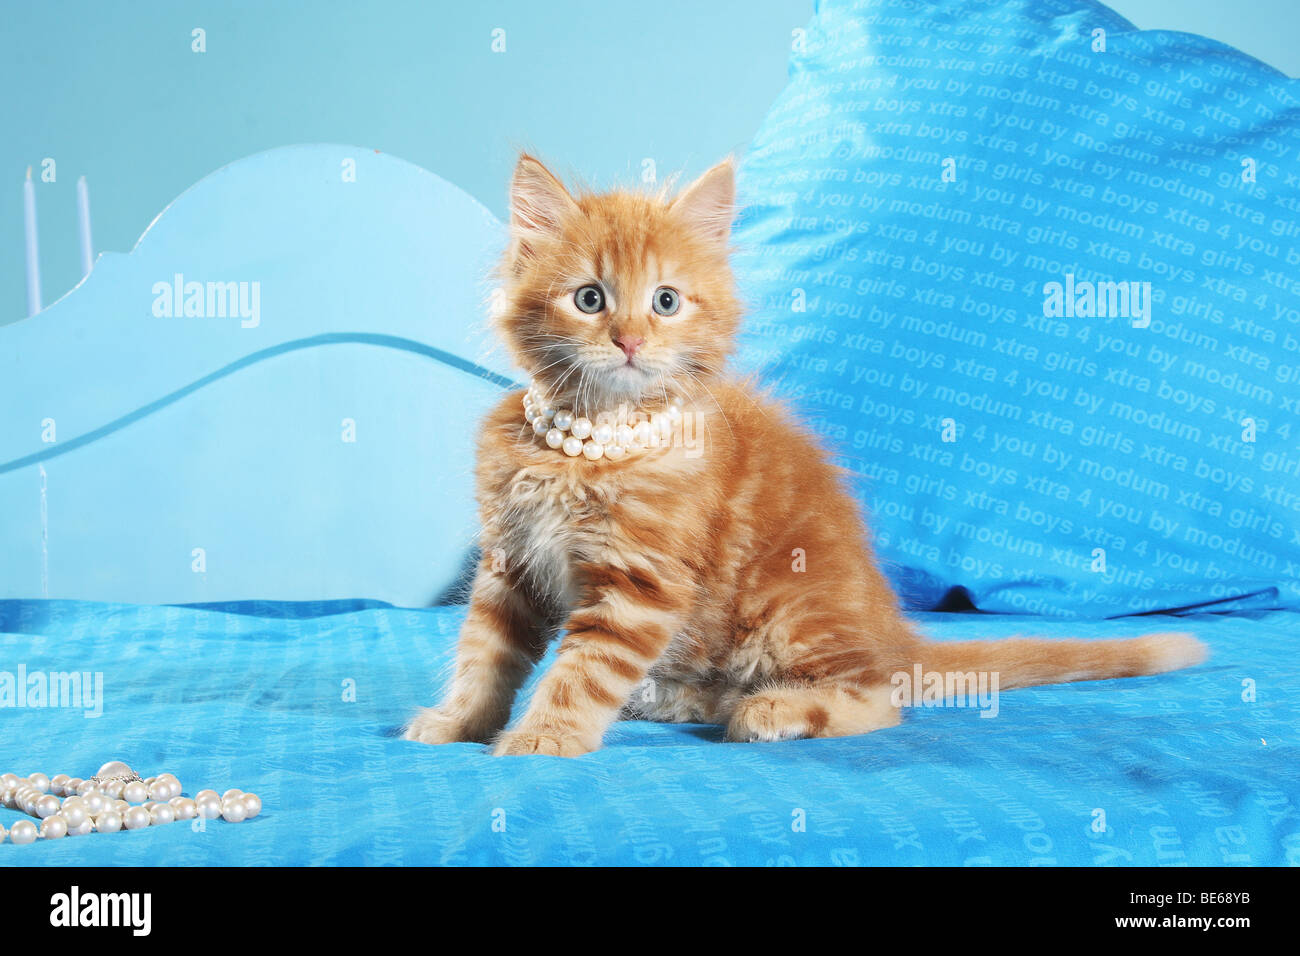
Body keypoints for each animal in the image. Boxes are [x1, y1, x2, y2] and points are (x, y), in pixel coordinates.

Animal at [405, 155, 1206, 754]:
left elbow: (583, 670)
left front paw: (543, 738)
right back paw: (677, 698)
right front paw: (458, 722)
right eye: (590, 299)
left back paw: (774, 710)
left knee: (881, 698)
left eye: (666, 301)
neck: (590, 446)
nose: (629, 341)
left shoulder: (640, 582)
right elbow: (483, 655)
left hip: (790, 605)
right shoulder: (509, 563)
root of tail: (892, 631)